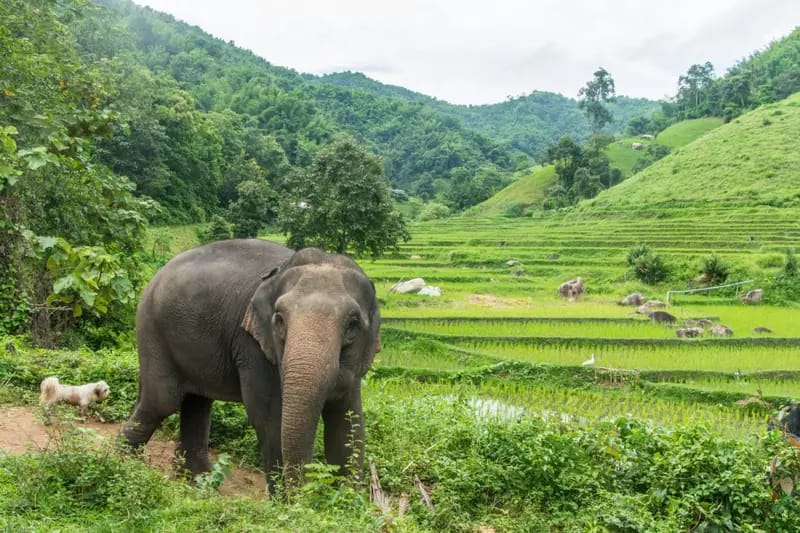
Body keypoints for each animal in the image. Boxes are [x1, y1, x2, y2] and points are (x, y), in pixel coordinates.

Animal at [119, 239, 382, 488]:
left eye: (353, 324)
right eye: (279, 319)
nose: (309, 488)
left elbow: (348, 421)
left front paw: (346, 498)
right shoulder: (253, 346)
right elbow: (271, 420)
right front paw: (290, 503)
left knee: (197, 401)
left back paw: (199, 482)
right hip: (152, 329)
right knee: (162, 401)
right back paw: (127, 468)